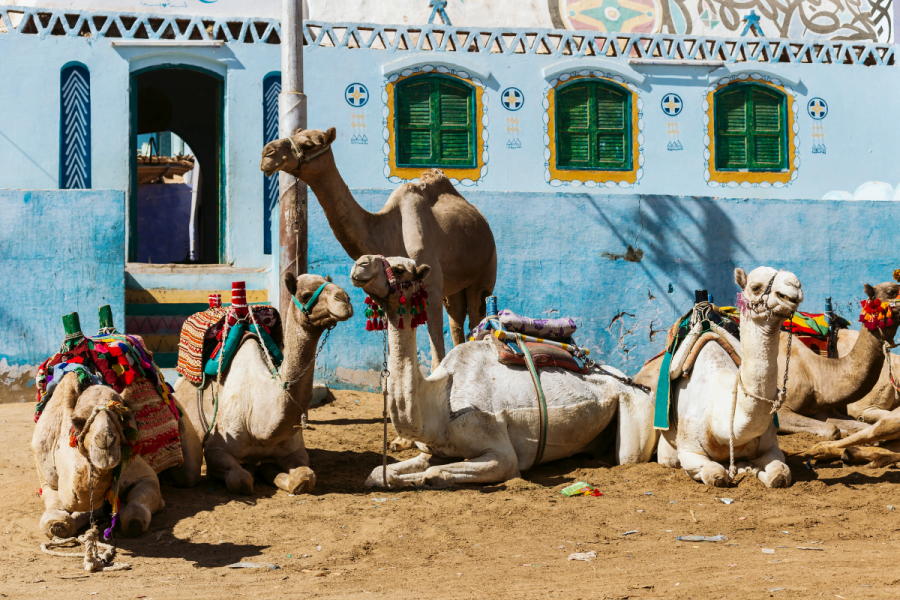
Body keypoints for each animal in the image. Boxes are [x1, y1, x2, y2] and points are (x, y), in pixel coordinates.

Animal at [33, 372, 200, 536]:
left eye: (124, 418)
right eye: (76, 421)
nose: (105, 442)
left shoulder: (144, 474)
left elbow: (137, 512)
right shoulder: (48, 480)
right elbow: (55, 519)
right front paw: (63, 524)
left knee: (187, 475)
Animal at [176, 274, 356, 496]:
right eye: (305, 295)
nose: (344, 299)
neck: (260, 424)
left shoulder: (295, 450)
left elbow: (305, 477)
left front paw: (270, 471)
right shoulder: (216, 450)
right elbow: (241, 480)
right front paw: (255, 471)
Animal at [346, 255, 652, 490]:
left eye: (398, 269)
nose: (360, 263)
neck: (440, 405)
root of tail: (631, 381)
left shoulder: (500, 450)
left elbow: (435, 473)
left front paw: (419, 481)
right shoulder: (433, 450)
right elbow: (378, 473)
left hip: (635, 409)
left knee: (628, 456)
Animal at [632, 282, 900, 440]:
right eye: (891, 291)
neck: (816, 371)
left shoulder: (820, 407)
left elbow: (858, 426)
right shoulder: (782, 409)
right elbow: (832, 430)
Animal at [652, 268, 804, 488]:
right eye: (755, 287)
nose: (794, 287)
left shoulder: (771, 446)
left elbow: (780, 473)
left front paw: (752, 469)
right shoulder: (689, 450)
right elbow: (715, 474)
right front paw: (735, 470)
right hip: (666, 453)